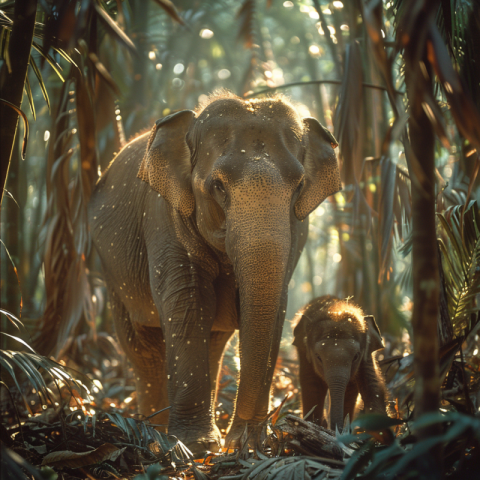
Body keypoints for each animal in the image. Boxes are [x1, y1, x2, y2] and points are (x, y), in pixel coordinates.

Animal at [87, 91, 342, 454]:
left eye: (299, 186)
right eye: (218, 186)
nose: (240, 437)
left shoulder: (297, 232)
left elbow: (275, 309)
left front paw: (247, 444)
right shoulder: (164, 216)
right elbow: (189, 305)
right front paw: (195, 445)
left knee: (214, 342)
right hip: (112, 270)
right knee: (141, 345)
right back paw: (155, 434)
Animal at [292, 294, 386, 430]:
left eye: (356, 356)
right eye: (318, 357)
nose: (336, 429)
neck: (336, 310)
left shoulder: (366, 356)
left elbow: (373, 386)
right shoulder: (305, 355)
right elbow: (312, 385)